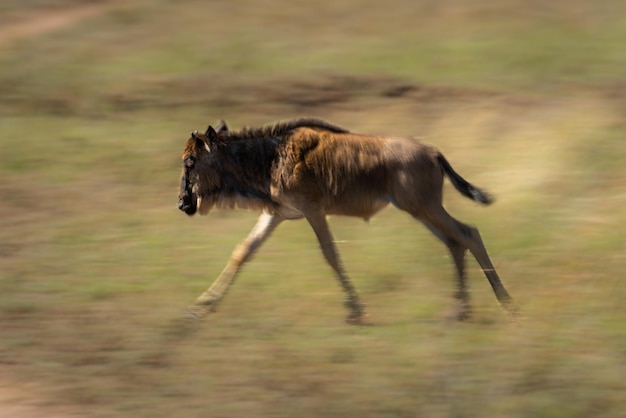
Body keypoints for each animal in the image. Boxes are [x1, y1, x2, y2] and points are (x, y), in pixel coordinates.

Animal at [177, 117, 516, 324]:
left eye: (190, 161)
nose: (182, 203)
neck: (268, 158)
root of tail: (433, 152)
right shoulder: (277, 213)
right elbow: (243, 252)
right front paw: (202, 306)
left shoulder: (313, 210)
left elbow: (331, 255)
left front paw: (356, 311)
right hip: (422, 209)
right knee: (455, 242)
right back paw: (461, 311)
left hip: (423, 207)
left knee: (468, 234)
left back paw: (506, 302)